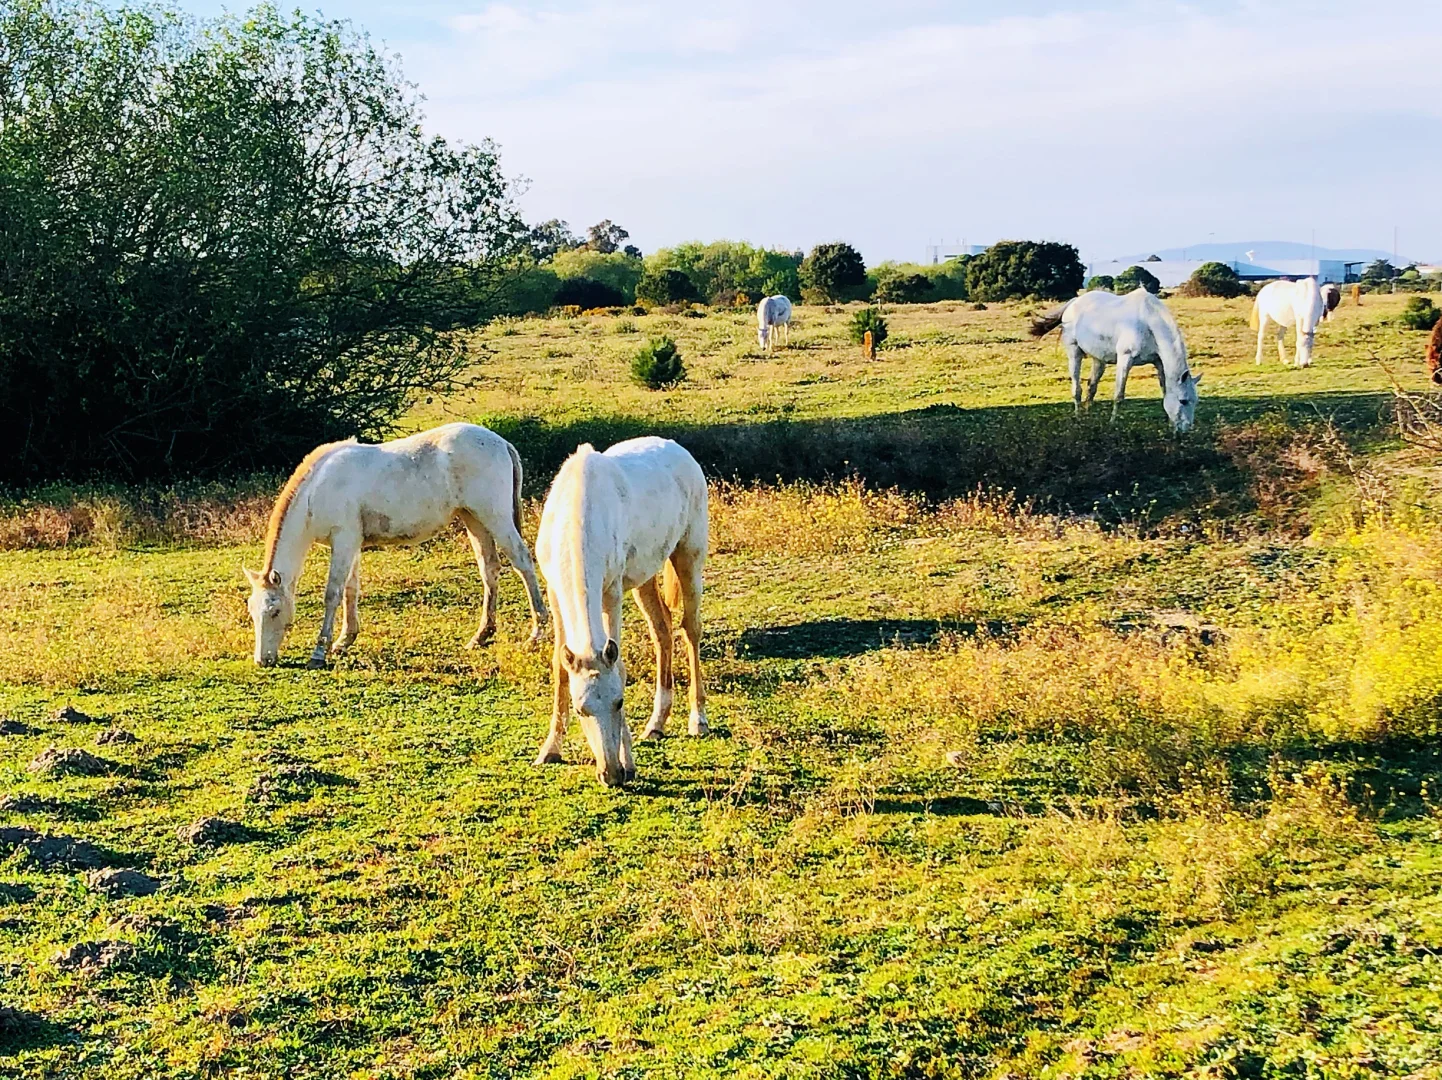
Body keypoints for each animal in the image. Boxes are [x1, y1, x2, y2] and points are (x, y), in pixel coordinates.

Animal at [242, 421, 545, 666]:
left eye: (274, 611)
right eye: (252, 612)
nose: (262, 661)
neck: (316, 491)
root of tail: (501, 443)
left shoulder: (343, 540)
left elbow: (333, 594)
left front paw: (320, 652)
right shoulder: (351, 543)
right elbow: (350, 590)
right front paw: (344, 640)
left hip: (495, 517)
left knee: (522, 562)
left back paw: (537, 633)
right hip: (474, 519)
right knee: (489, 569)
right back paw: (481, 635)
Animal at [1032, 292, 1199, 435]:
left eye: (1195, 401)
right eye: (1183, 401)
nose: (1185, 430)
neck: (1147, 322)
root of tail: (1073, 302)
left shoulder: (1158, 362)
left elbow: (1165, 392)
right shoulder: (1125, 359)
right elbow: (1119, 395)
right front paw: (1112, 424)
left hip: (1098, 359)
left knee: (1091, 387)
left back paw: (1087, 417)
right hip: (1074, 352)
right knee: (1077, 389)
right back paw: (1078, 418)